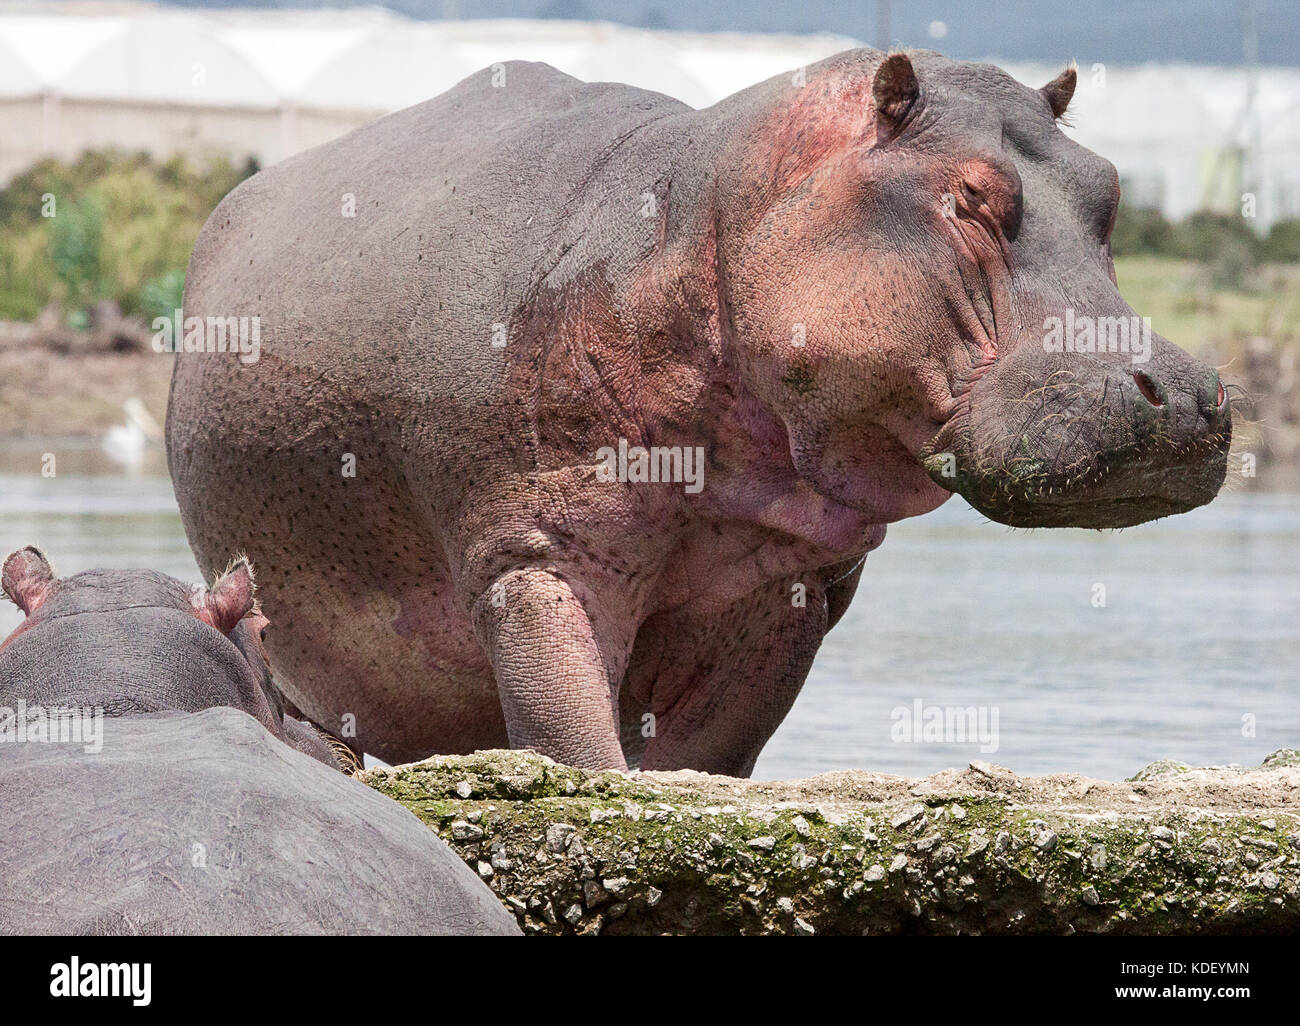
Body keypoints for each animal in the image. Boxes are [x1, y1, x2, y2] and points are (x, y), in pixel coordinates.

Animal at [167, 46, 1232, 769]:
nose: (1185, 395)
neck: (710, 222)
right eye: (970, 195)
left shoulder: (786, 586)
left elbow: (704, 764)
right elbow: (576, 749)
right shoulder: (534, 561)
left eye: (1108, 188)